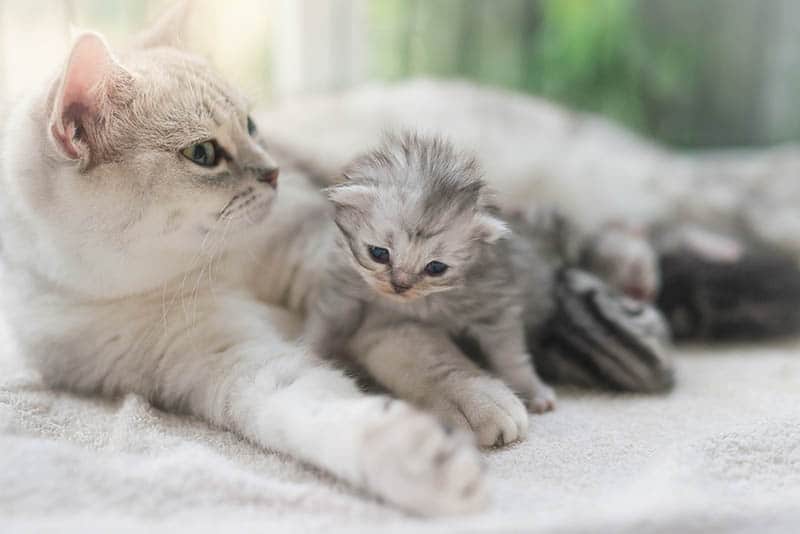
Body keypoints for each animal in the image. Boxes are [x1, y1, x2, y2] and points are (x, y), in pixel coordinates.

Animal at [0, 3, 488, 516]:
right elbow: (315, 408)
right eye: (203, 153)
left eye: (252, 125)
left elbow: (404, 335)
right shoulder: (225, 361)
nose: (274, 172)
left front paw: (470, 398)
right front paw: (420, 461)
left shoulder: (323, 250)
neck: (206, 269)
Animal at [306, 134, 556, 440]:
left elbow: (510, 354)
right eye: (379, 254)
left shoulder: (493, 300)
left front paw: (532, 389)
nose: (400, 285)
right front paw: (310, 355)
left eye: (435, 268)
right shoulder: (344, 287)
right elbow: (326, 325)